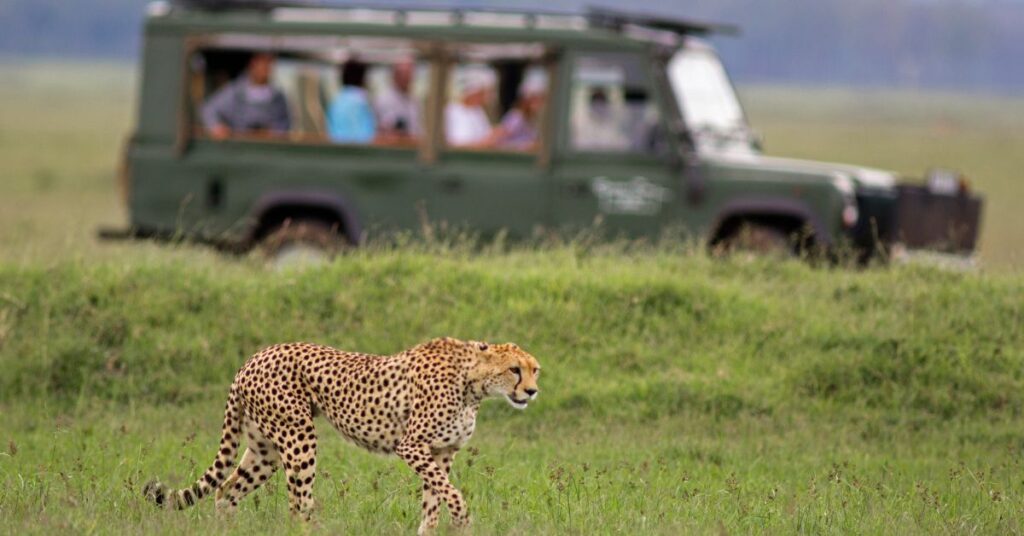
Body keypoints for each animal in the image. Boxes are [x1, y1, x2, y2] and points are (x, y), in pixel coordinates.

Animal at [144, 338, 544, 532]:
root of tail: (252, 359)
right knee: (298, 504)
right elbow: (452, 495)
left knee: (226, 491)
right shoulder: (412, 446)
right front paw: (463, 521)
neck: (473, 383)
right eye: (514, 370)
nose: (532, 392)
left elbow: (434, 501)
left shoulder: (441, 453)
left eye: (535, 369)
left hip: (265, 449)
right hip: (299, 436)